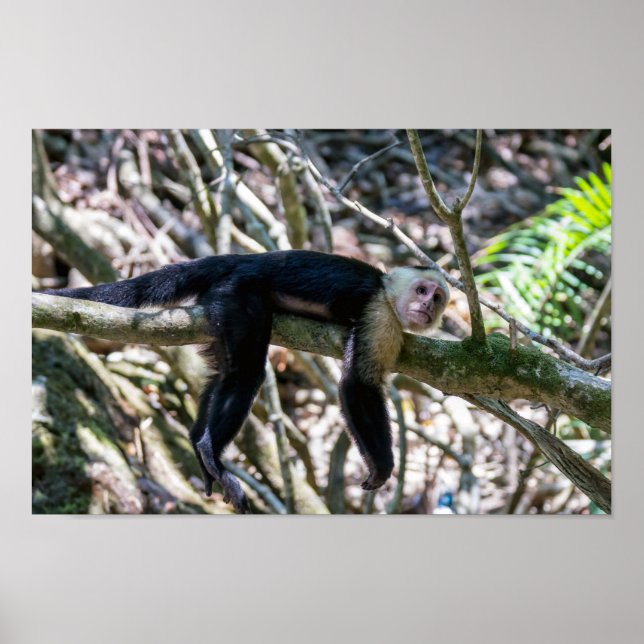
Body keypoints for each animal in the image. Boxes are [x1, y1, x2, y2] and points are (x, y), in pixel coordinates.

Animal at [43, 250, 449, 513]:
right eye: (422, 291)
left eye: (438, 297)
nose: (428, 307)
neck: (386, 290)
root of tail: (244, 258)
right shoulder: (380, 312)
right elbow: (358, 384)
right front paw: (382, 466)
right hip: (237, 294)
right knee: (246, 373)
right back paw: (211, 451)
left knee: (223, 375)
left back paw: (199, 447)